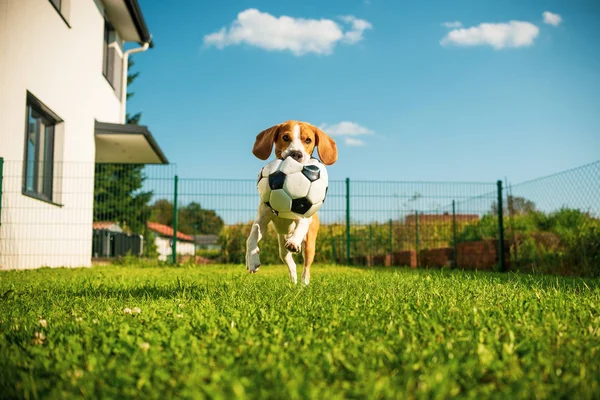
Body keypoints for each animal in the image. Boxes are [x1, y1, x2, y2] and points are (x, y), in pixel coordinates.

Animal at [245, 120, 338, 286]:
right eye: (285, 137)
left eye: (308, 140)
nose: (296, 154)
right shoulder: (262, 218)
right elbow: (253, 234)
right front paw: (252, 259)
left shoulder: (303, 213)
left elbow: (301, 225)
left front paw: (294, 241)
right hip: (281, 247)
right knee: (290, 261)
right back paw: (293, 280)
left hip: (310, 245)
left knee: (306, 266)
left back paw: (304, 282)